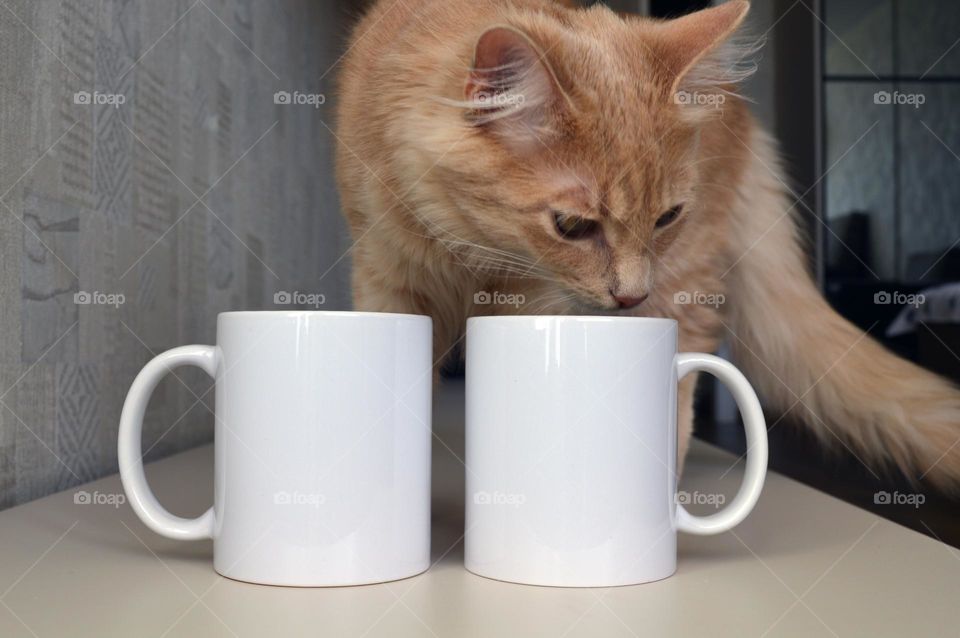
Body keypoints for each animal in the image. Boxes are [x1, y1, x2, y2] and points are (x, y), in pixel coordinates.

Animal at [336, 0, 960, 490]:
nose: (629, 296)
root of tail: (737, 104)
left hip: (685, 287)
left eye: (666, 218)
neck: (472, 252)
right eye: (572, 226)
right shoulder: (386, 283)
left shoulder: (537, 304)